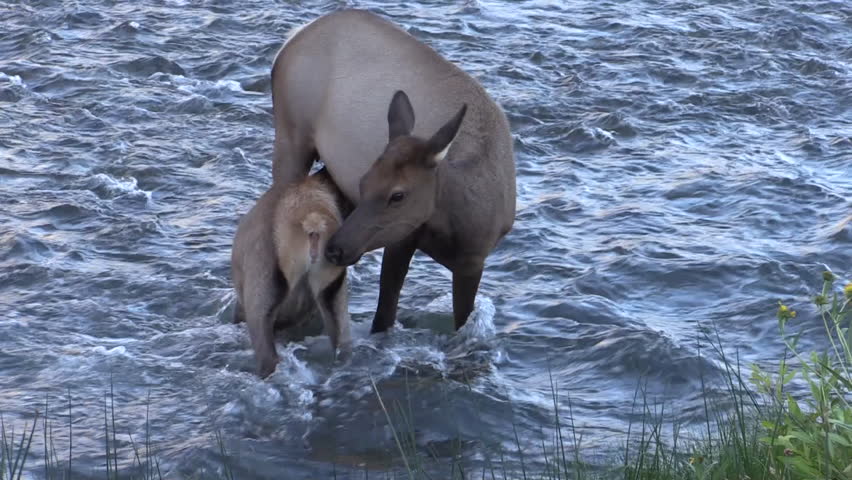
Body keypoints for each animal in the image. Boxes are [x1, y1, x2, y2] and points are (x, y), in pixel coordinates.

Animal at [270, 9, 516, 334]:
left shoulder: (473, 262)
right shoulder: (401, 235)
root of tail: (291, 39)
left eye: (398, 195)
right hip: (291, 136)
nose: (335, 249)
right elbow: (384, 313)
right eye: (364, 182)